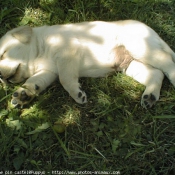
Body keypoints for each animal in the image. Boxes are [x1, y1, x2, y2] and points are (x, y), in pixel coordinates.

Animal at [0, 19, 174, 107]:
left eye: (3, 54)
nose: (1, 77)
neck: (39, 50)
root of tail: (152, 31)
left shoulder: (67, 52)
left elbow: (65, 79)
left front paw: (77, 94)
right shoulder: (48, 72)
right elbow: (34, 81)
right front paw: (23, 95)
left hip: (141, 48)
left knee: (168, 63)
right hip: (132, 65)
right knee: (157, 74)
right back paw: (150, 97)